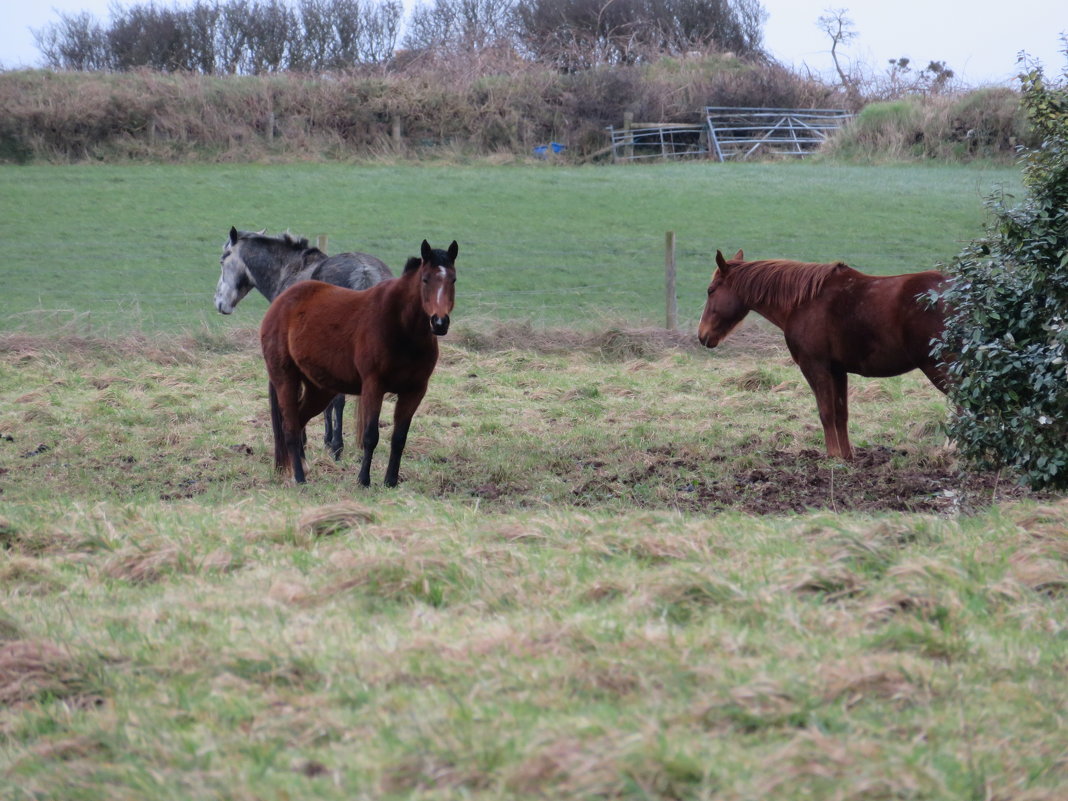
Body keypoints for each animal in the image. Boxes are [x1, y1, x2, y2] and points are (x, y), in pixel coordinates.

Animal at [212, 228, 393, 461]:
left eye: (222, 260)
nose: (219, 302)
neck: (289, 270)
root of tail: (364, 270)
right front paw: (325, 440)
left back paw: (338, 447)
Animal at [262, 240, 459, 489]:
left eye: (453, 280)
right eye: (425, 279)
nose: (439, 322)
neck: (401, 328)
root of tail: (281, 300)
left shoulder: (414, 391)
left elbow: (399, 438)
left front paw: (390, 482)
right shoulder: (374, 386)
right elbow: (370, 436)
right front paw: (363, 480)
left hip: (318, 388)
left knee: (299, 420)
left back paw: (302, 466)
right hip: (285, 379)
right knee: (289, 427)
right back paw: (299, 477)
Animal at [700, 247, 952, 461]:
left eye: (711, 290)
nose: (702, 335)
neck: (803, 302)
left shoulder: (815, 366)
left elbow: (826, 412)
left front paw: (832, 456)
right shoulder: (838, 370)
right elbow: (841, 414)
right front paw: (847, 457)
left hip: (939, 367)